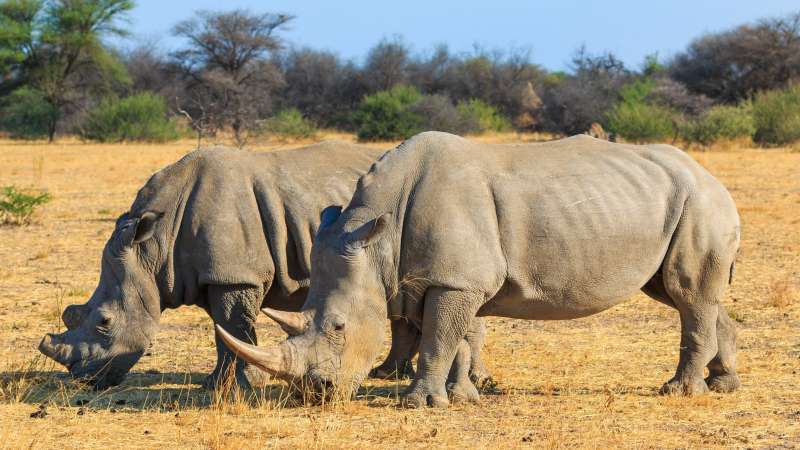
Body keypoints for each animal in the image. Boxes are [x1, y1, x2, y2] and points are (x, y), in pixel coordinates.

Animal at [38, 142, 487, 389]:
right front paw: (215, 383)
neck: (153, 247)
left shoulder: (236, 274)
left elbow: (234, 326)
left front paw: (239, 385)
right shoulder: (210, 275)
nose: (83, 378)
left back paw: (470, 380)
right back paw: (385, 374)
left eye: (105, 323)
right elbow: (222, 331)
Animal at [219, 132, 742, 407]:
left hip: (702, 204)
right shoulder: (457, 279)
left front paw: (420, 403)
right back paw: (723, 384)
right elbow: (460, 337)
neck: (376, 238)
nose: (318, 394)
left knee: (689, 294)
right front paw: (464, 397)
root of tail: (715, 179)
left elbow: (439, 338)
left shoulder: (456, 280)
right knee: (685, 294)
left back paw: (679, 391)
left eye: (340, 327)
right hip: (680, 203)